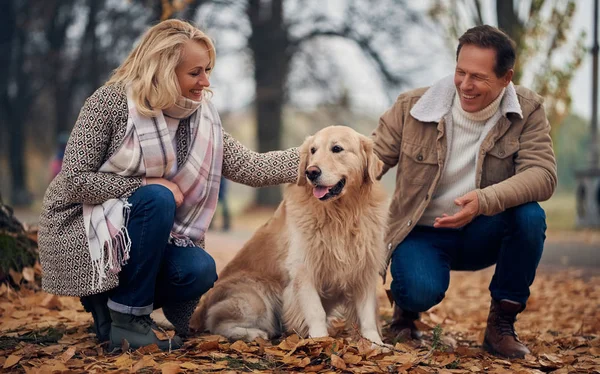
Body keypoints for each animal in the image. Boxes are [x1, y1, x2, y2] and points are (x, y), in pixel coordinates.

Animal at [192, 125, 390, 344]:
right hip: (255, 297)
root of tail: (200, 307)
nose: (311, 172)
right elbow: (316, 311)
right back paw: (255, 334)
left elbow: (367, 315)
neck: (340, 214)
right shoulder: (304, 268)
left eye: (337, 148)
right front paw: (320, 341)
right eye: (313, 150)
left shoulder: (364, 268)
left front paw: (375, 343)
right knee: (216, 323)